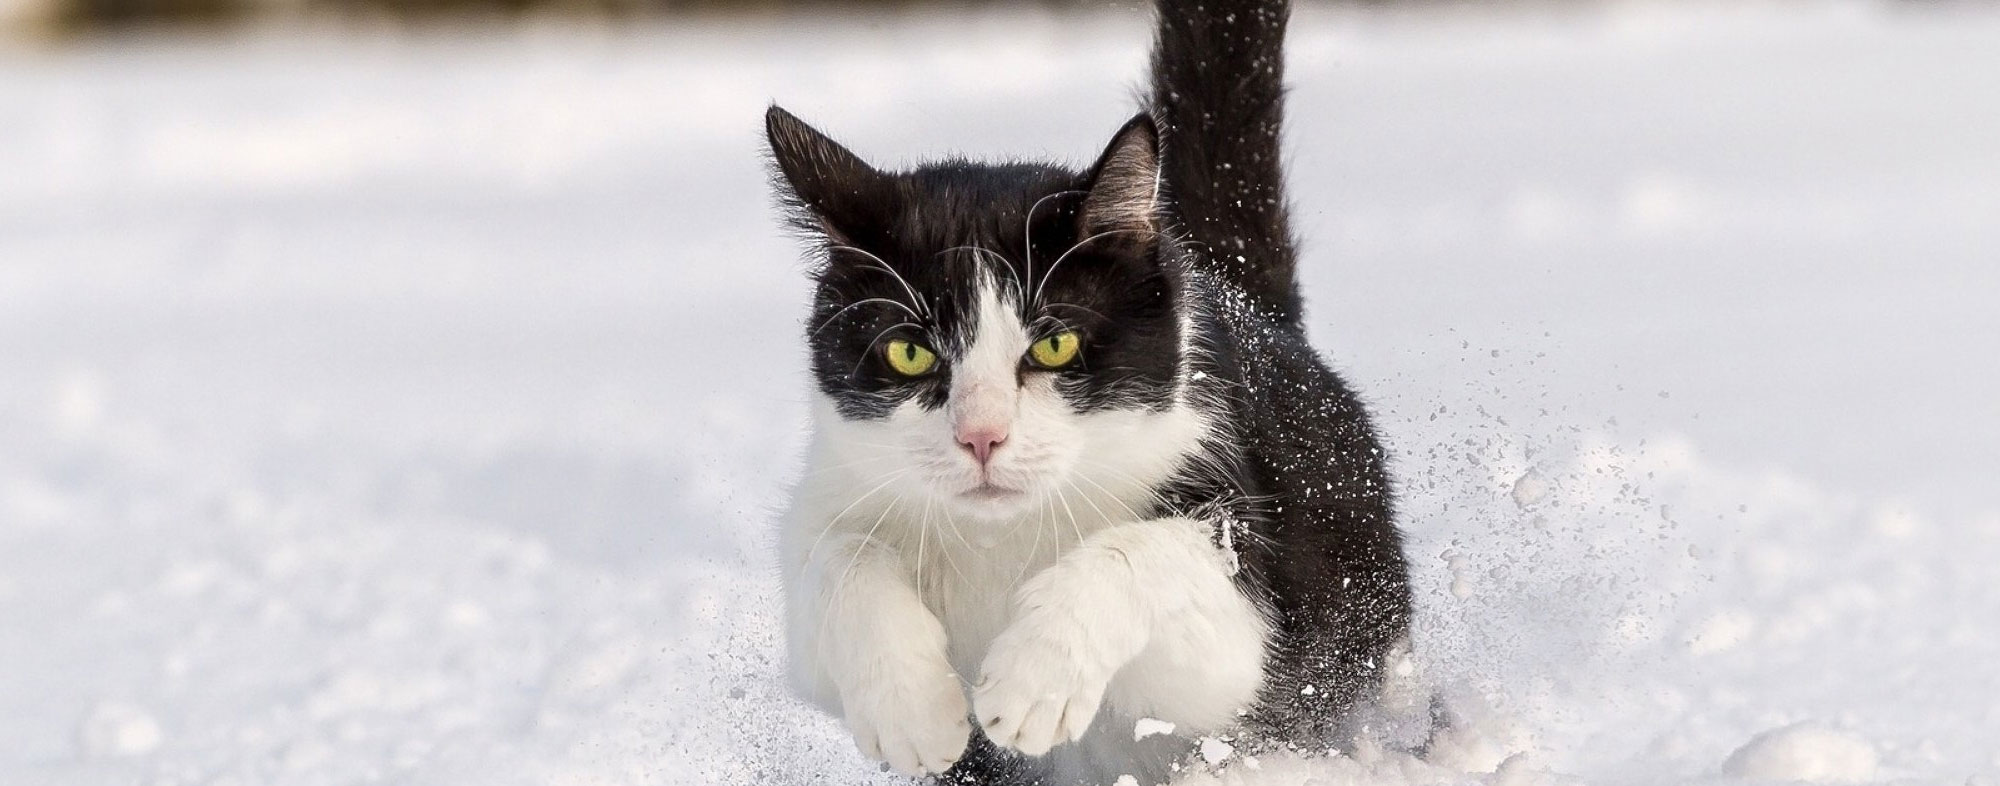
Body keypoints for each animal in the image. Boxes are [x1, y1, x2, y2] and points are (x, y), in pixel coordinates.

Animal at [768, 0, 1424, 776]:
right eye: (908, 352)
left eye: (1055, 344)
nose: (981, 436)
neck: (1002, 539)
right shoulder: (834, 495)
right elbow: (840, 558)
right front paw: (912, 710)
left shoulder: (1243, 600)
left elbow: (1150, 560)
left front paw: (1034, 678)